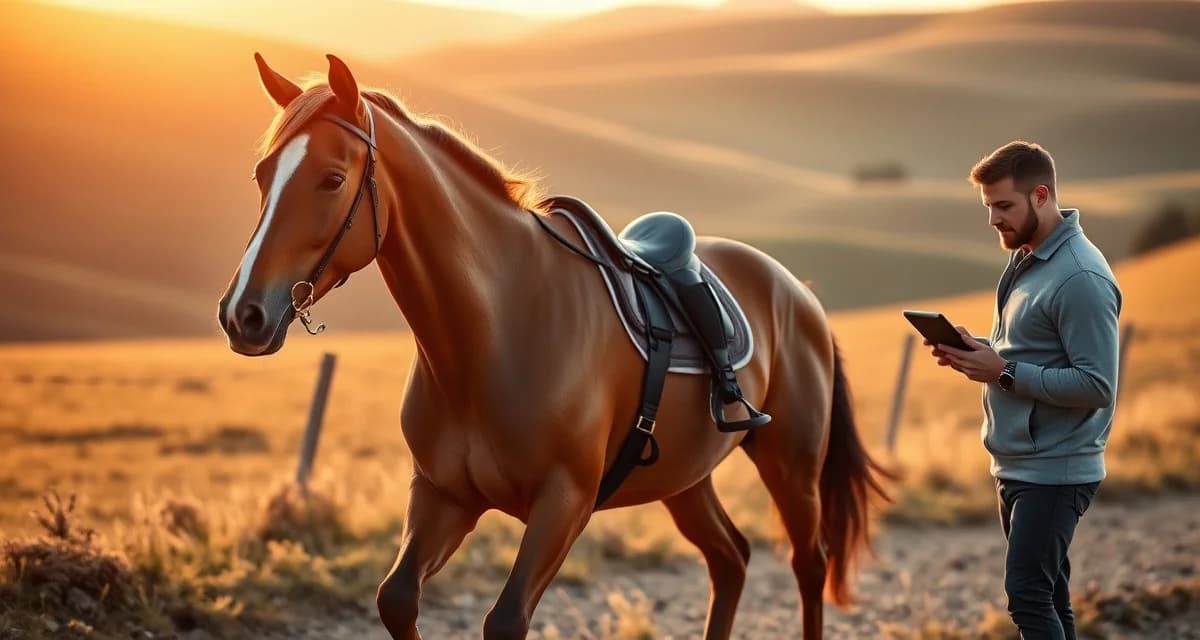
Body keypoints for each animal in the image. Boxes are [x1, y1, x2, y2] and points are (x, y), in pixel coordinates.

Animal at [217, 53, 895, 640]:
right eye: (261, 175)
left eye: (332, 179)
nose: (242, 314)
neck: (496, 332)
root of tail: (797, 292)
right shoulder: (443, 495)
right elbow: (397, 598)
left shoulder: (563, 504)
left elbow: (505, 621)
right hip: (685, 478)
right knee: (730, 559)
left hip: (791, 465)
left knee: (809, 564)